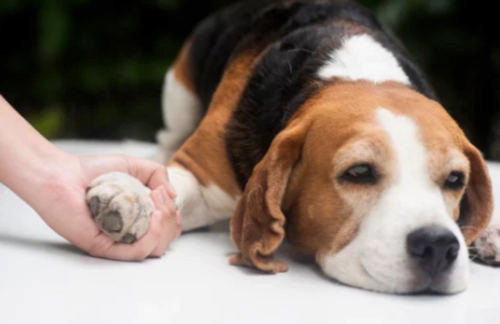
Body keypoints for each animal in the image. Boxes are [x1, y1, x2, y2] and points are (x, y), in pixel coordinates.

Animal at [84, 0, 498, 294]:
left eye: (455, 180)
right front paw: (130, 195)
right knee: (166, 137)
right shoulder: (201, 175)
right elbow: (169, 183)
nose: (439, 246)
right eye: (359, 172)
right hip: (180, 90)